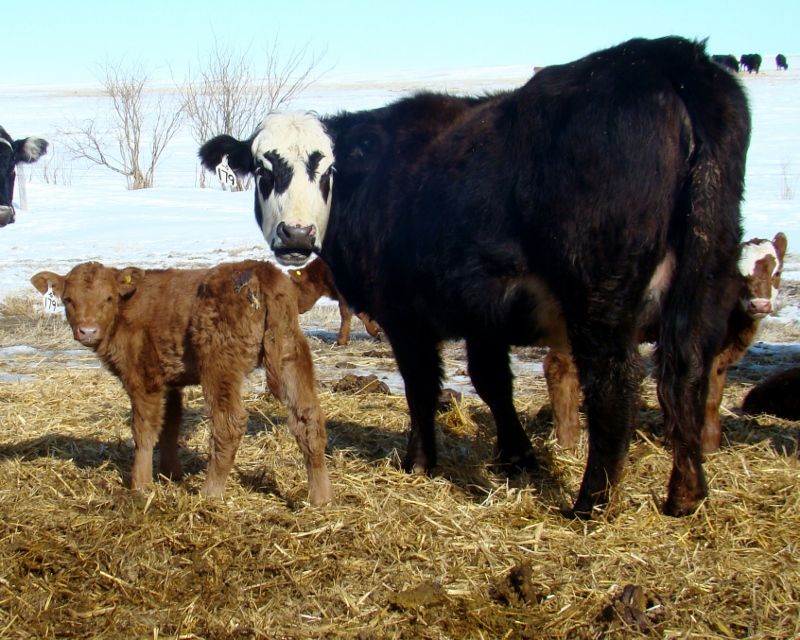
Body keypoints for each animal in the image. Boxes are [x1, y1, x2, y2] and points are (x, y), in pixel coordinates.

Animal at [30, 261, 332, 506]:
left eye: (108, 298)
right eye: (68, 300)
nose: (88, 330)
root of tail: (261, 270)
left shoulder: (143, 377)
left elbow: (144, 430)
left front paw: (140, 484)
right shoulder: (170, 381)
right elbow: (170, 424)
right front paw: (170, 473)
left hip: (219, 364)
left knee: (229, 422)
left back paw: (210, 493)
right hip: (290, 353)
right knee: (308, 419)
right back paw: (319, 498)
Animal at [199, 37, 751, 518]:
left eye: (326, 169)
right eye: (264, 169)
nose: (296, 233)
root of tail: (667, 56)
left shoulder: (408, 317)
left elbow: (422, 387)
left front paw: (420, 461)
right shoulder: (484, 310)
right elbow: (492, 382)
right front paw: (517, 457)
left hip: (600, 297)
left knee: (616, 386)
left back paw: (590, 502)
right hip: (707, 276)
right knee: (686, 374)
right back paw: (686, 493)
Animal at [545, 233, 787, 452]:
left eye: (777, 272)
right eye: (739, 275)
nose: (760, 305)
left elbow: (710, 397)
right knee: (559, 369)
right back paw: (568, 440)